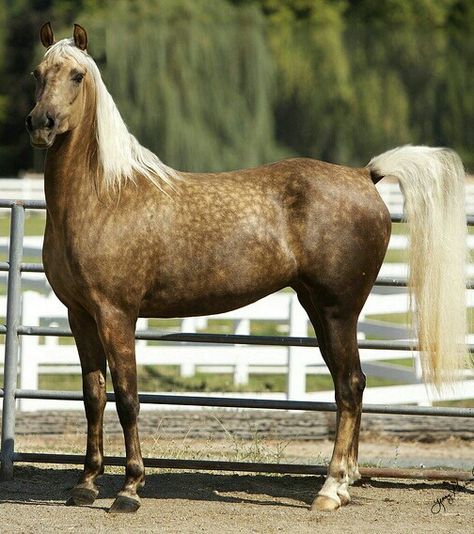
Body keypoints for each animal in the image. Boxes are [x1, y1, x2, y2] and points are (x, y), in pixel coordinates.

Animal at [26, 22, 470, 516]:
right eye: (38, 73)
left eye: (77, 76)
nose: (41, 124)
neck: (104, 197)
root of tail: (364, 175)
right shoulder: (80, 315)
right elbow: (92, 397)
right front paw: (85, 484)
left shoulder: (116, 315)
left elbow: (126, 398)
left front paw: (130, 489)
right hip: (319, 309)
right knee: (347, 384)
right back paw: (345, 483)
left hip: (339, 310)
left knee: (350, 386)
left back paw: (330, 488)